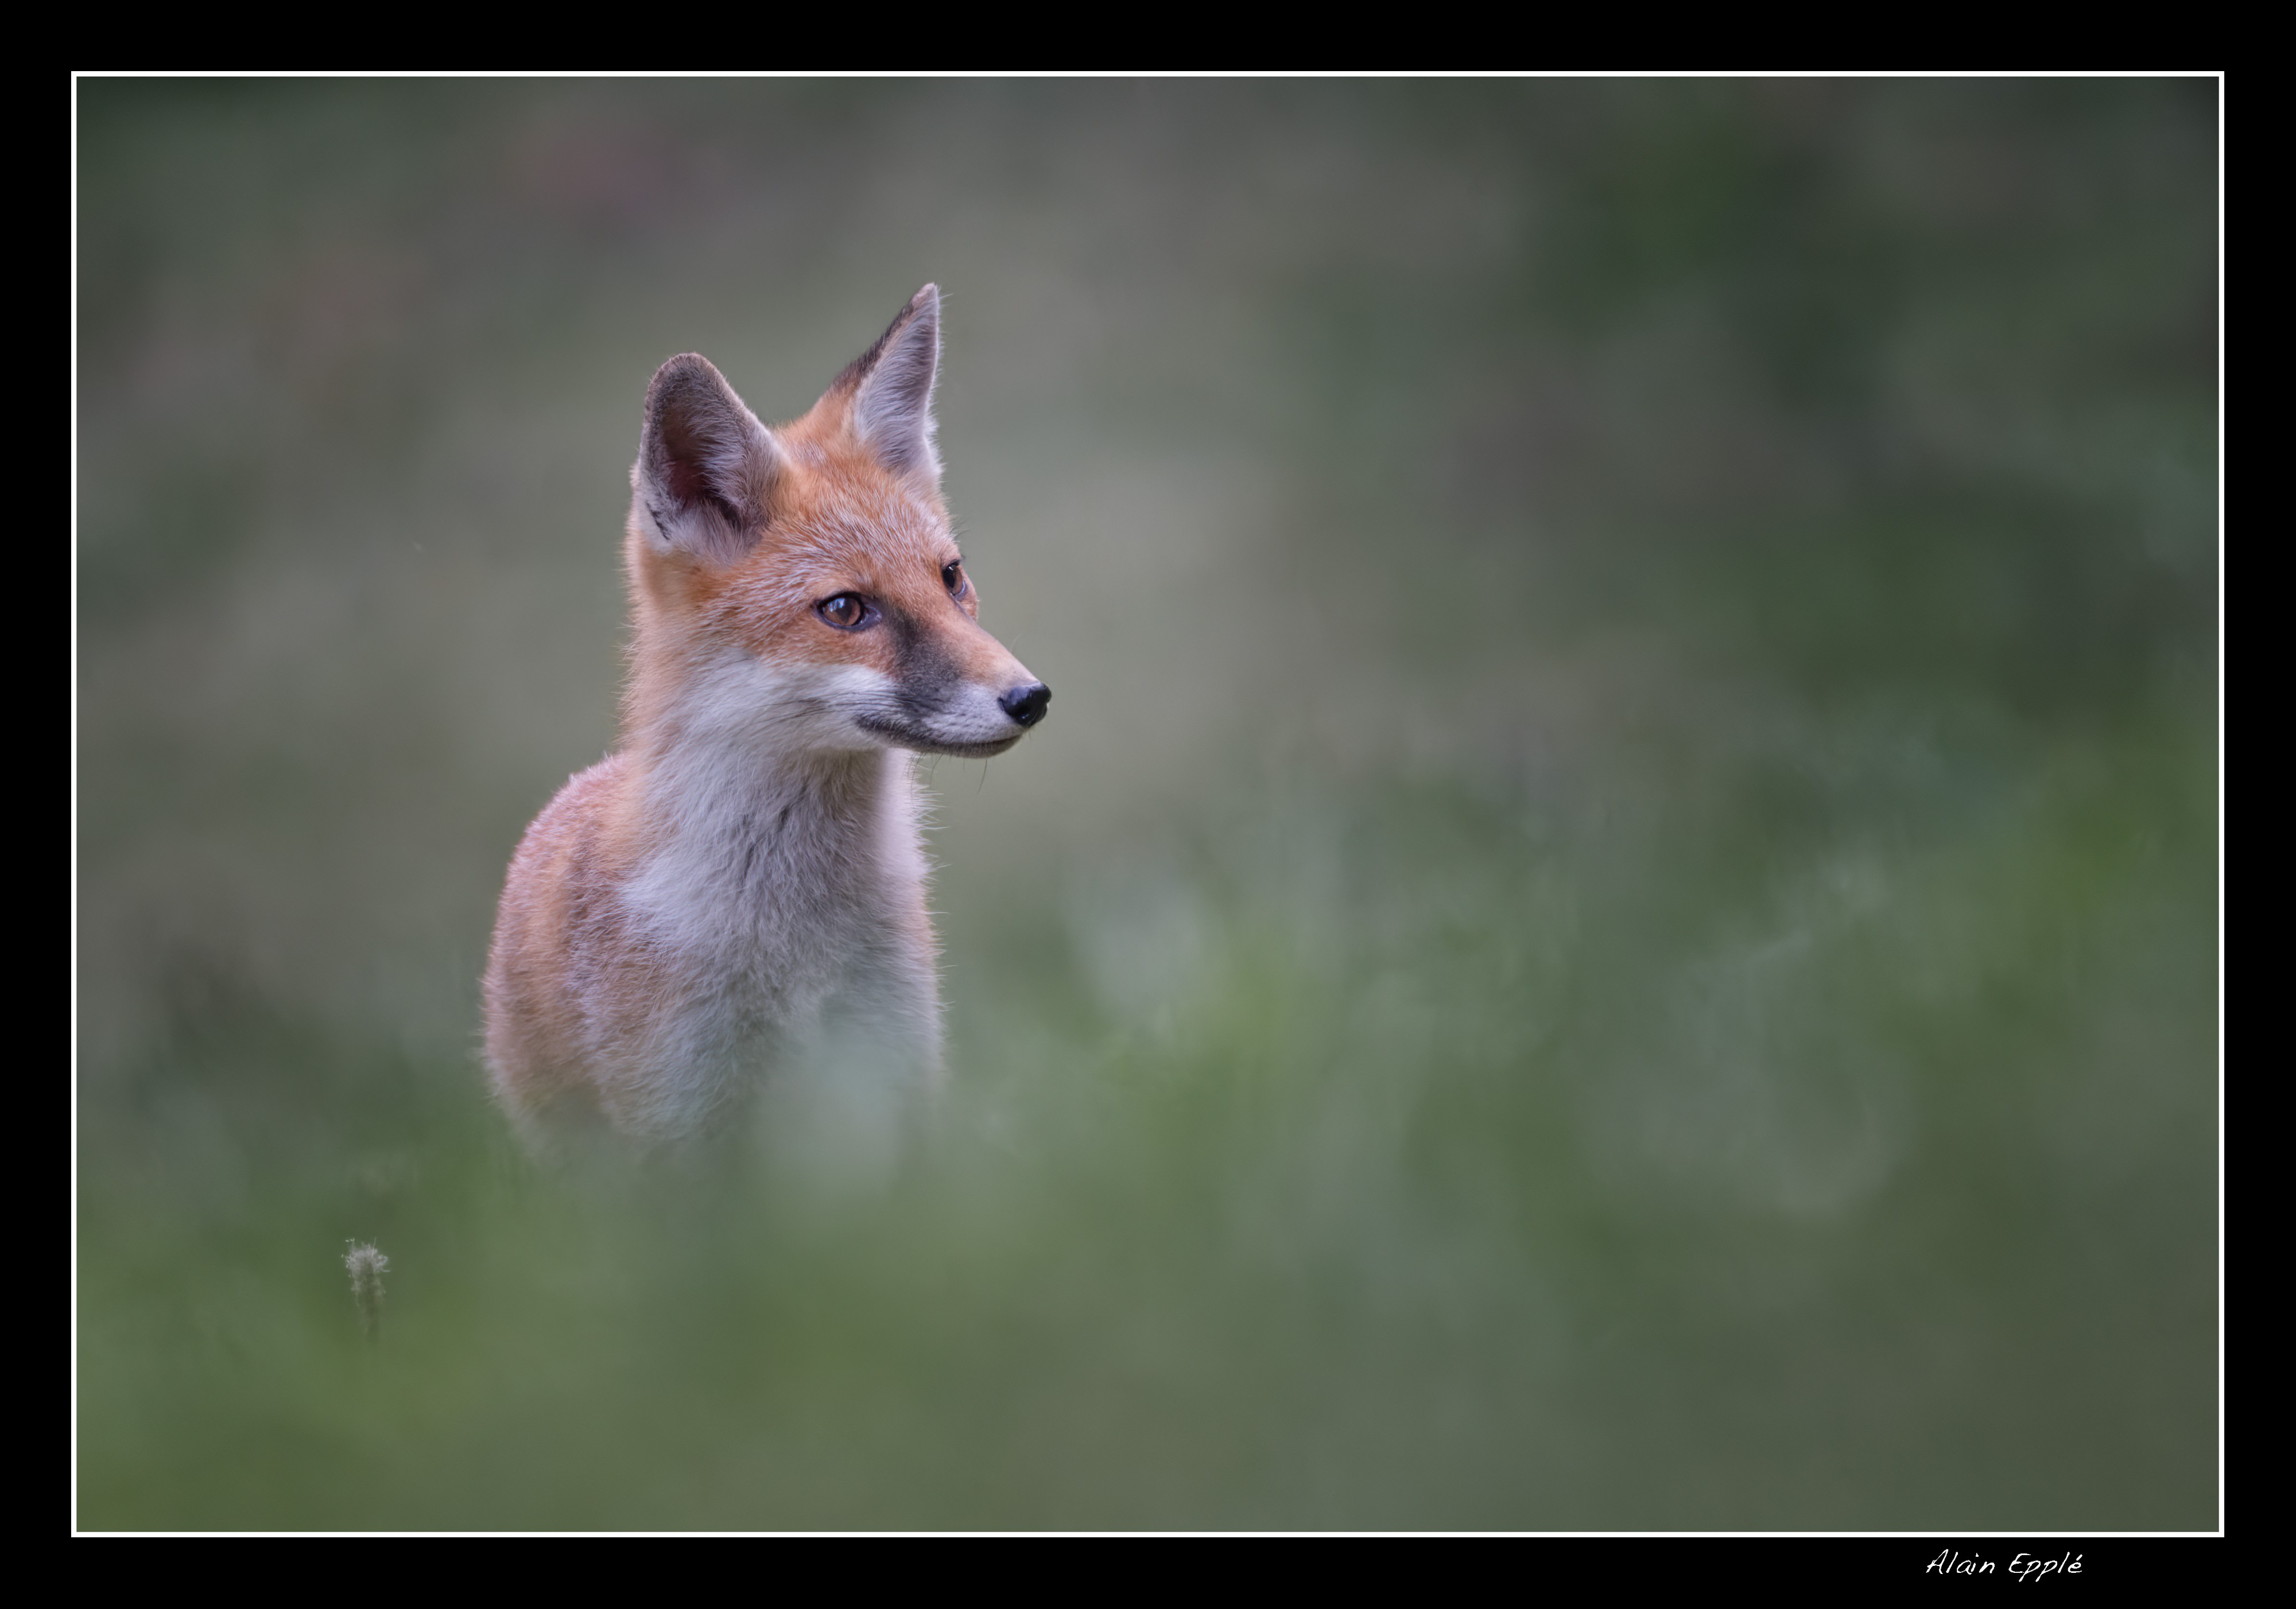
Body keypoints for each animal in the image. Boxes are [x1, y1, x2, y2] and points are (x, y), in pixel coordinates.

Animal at [482, 285, 1049, 1144]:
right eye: (845, 609)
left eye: (951, 578)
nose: (1030, 698)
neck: (794, 941)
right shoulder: (676, 1114)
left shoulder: (893, 1075)